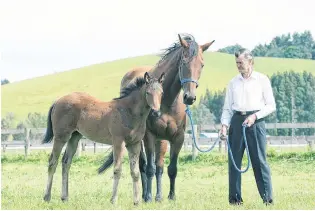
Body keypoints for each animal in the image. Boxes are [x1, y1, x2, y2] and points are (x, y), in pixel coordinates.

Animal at [43, 71, 165, 205]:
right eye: (148, 92)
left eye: (161, 93)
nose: (156, 113)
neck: (128, 111)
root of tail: (57, 101)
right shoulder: (118, 142)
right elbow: (117, 169)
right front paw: (113, 200)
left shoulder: (135, 144)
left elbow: (135, 172)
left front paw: (137, 202)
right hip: (61, 137)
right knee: (53, 162)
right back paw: (47, 197)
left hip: (74, 137)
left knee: (66, 162)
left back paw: (65, 197)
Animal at [100, 33, 216, 202]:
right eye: (184, 61)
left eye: (202, 65)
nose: (189, 97)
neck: (166, 100)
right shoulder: (149, 136)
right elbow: (149, 168)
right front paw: (148, 197)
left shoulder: (177, 137)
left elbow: (171, 168)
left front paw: (171, 196)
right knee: (142, 165)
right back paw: (143, 195)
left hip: (161, 140)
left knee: (159, 166)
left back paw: (159, 196)